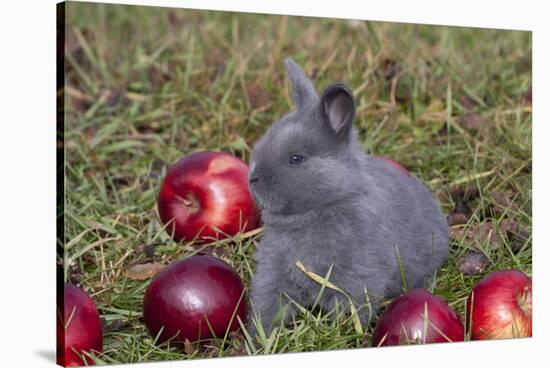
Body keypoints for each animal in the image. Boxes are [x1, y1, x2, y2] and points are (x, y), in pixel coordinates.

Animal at [248, 56, 450, 334]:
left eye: (296, 159)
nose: (252, 179)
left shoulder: (357, 276)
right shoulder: (272, 275)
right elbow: (268, 308)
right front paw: (258, 336)